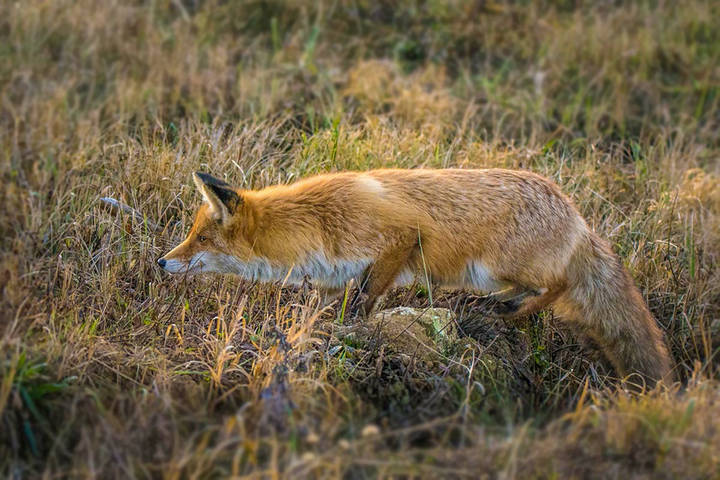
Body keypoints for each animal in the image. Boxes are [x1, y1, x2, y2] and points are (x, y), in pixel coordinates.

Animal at [159, 168, 674, 385]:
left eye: (200, 239)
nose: (162, 262)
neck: (318, 221)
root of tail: (576, 215)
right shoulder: (332, 275)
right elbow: (328, 308)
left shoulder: (400, 241)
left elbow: (363, 304)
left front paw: (352, 331)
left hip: (498, 266)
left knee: (557, 286)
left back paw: (499, 311)